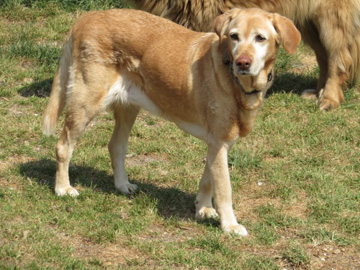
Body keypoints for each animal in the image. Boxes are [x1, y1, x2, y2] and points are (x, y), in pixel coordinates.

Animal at [43, 8, 300, 235]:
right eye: (234, 36)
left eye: (260, 38)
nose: (243, 62)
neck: (234, 79)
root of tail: (85, 18)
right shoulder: (219, 143)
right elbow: (224, 189)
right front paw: (230, 225)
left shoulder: (217, 143)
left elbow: (208, 180)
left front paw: (203, 209)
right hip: (86, 103)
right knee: (63, 146)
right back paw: (63, 188)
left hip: (129, 106)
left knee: (115, 146)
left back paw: (122, 185)